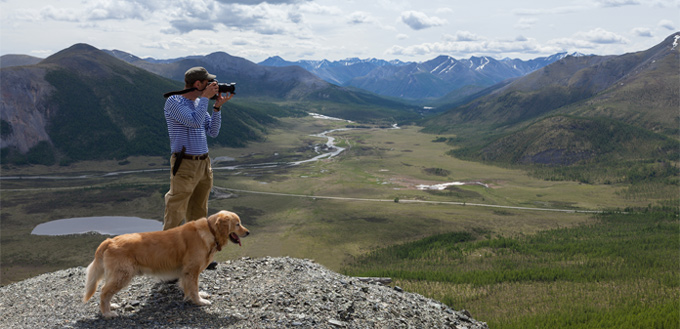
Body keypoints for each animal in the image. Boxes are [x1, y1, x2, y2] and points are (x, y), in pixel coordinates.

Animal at [82, 209, 247, 316]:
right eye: (237, 224)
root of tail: (109, 241)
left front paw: (198, 296)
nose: (248, 232)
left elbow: (190, 287)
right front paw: (199, 301)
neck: (211, 231)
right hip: (122, 275)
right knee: (104, 292)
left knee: (106, 292)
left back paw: (112, 307)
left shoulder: (187, 272)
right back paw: (108, 313)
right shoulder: (191, 270)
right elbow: (193, 288)